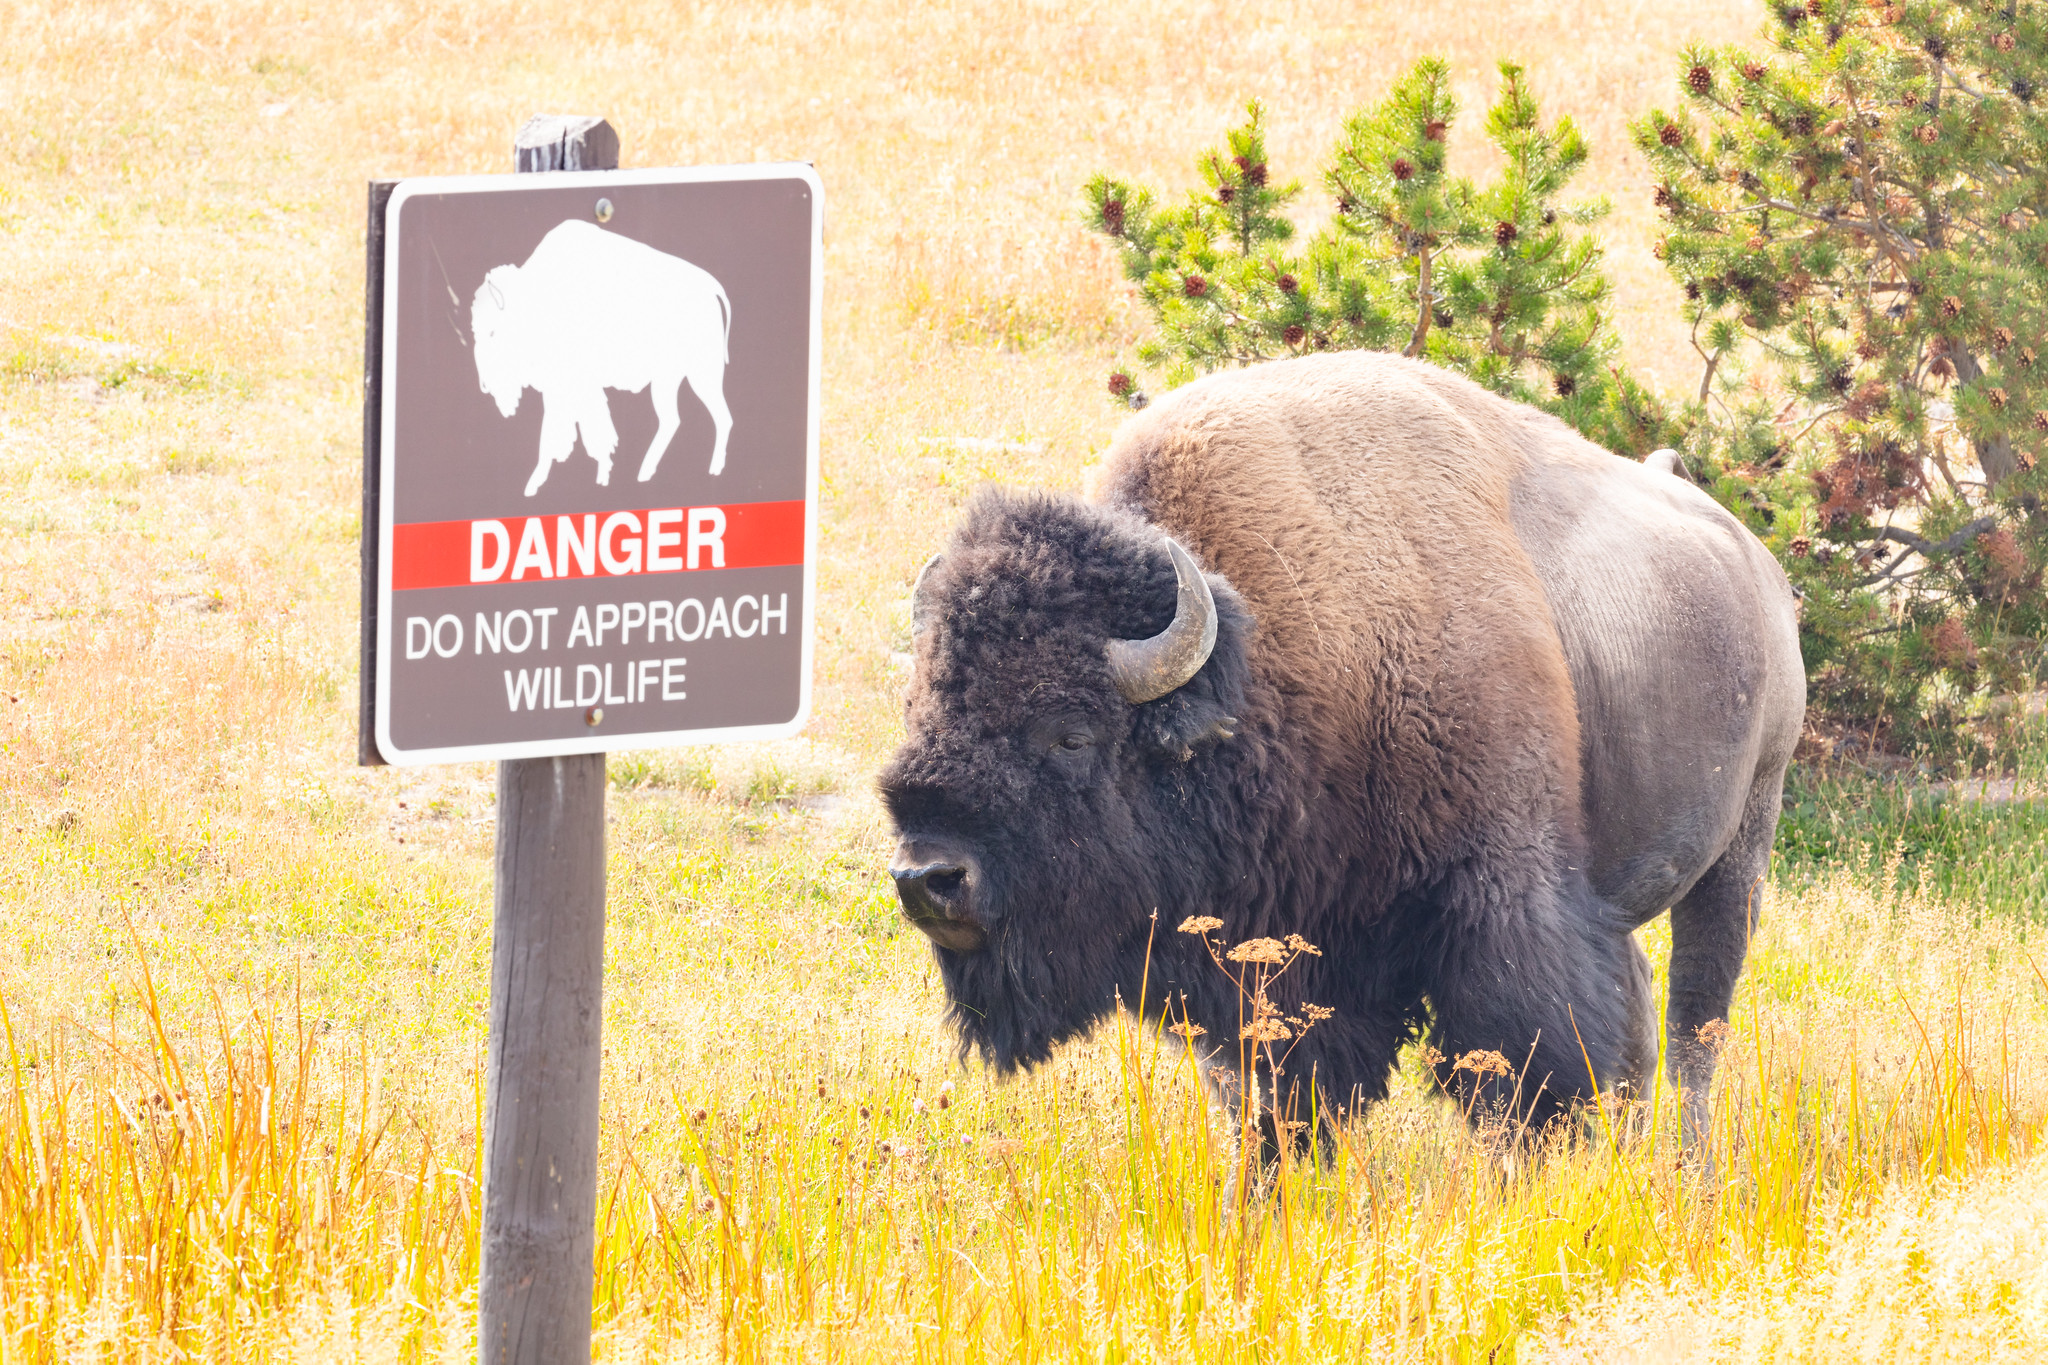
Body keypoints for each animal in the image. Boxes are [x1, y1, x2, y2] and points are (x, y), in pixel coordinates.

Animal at [881, 352, 1804, 1142]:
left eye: (1072, 733)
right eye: (921, 708)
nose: (929, 878)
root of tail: (1757, 567)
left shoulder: (1500, 898)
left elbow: (1523, 1066)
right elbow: (1269, 1092)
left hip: (1741, 846)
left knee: (1696, 1024)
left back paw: (1685, 1169)